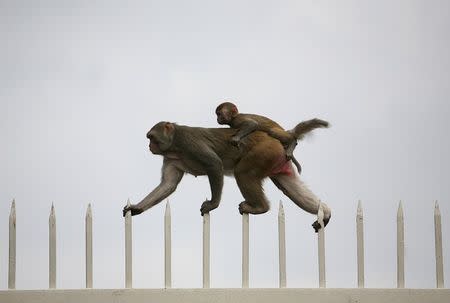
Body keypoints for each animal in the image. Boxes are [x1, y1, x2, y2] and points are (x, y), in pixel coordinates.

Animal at [123, 120, 330, 232]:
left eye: (151, 137)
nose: (149, 146)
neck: (174, 145)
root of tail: (277, 138)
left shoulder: (188, 142)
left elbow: (214, 164)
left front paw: (212, 205)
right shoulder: (170, 158)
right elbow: (168, 185)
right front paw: (136, 208)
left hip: (264, 152)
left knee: (242, 172)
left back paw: (260, 208)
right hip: (276, 160)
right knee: (288, 187)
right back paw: (326, 213)